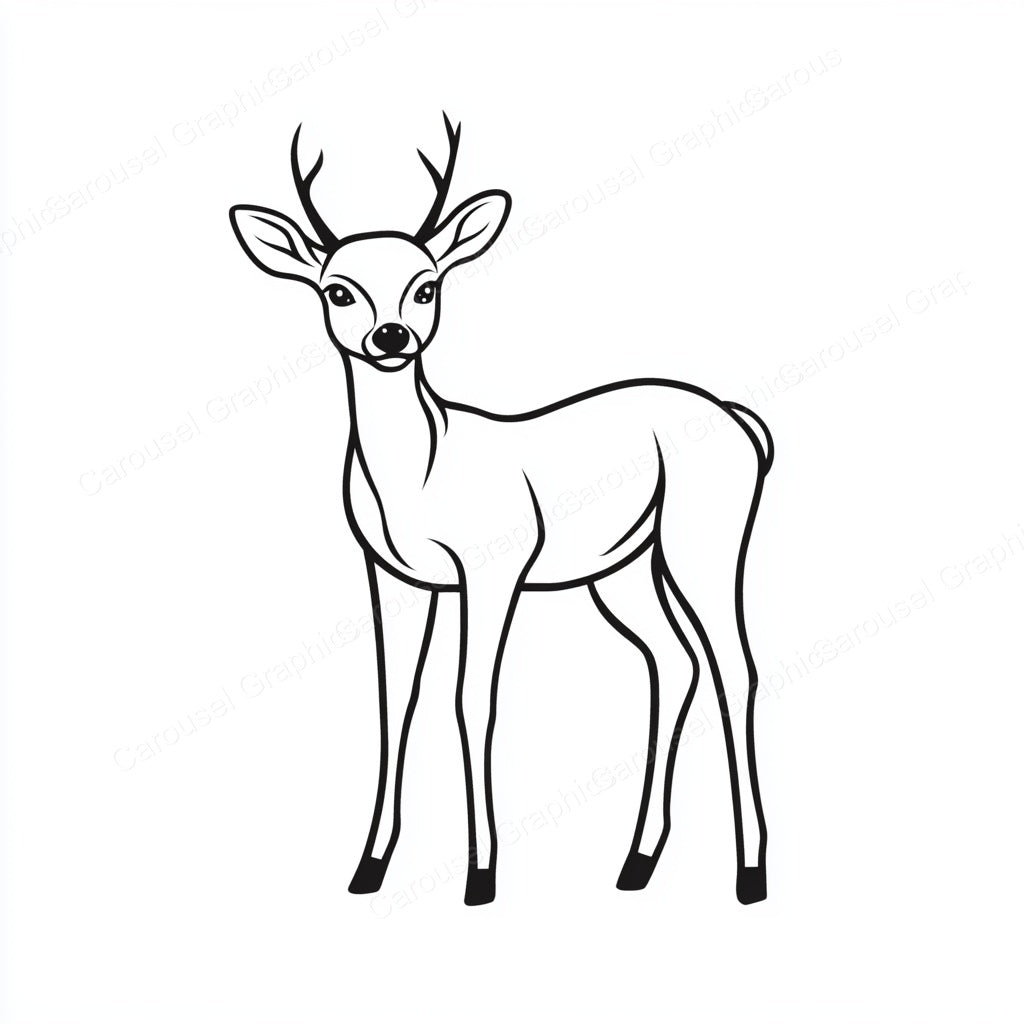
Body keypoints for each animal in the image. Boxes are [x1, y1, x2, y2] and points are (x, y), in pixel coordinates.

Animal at [229, 115, 774, 907]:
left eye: (426, 286)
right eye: (338, 291)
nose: (390, 337)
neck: (420, 474)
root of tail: (741, 420)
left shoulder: (493, 569)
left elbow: (472, 700)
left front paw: (480, 877)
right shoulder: (392, 575)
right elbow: (396, 701)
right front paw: (368, 868)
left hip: (705, 540)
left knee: (737, 668)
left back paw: (750, 873)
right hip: (622, 570)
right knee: (674, 665)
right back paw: (635, 864)